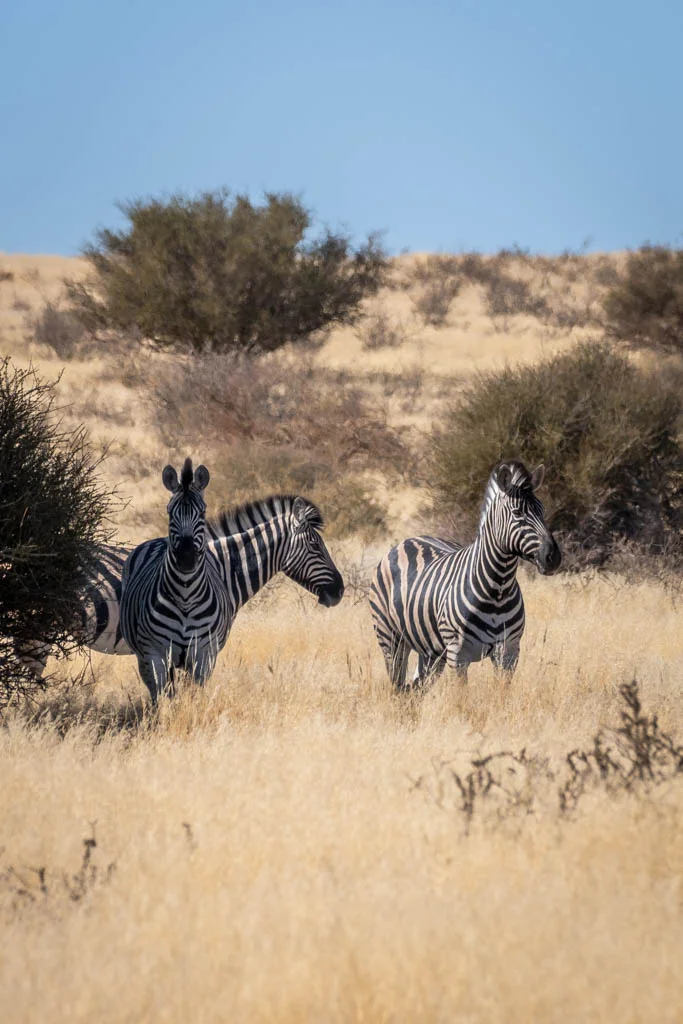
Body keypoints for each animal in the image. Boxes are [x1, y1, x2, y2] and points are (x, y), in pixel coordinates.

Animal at [369, 460, 561, 690]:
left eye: (542, 511)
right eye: (517, 513)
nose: (554, 557)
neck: (498, 588)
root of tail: (407, 541)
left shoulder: (509, 651)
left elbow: (502, 695)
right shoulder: (458, 655)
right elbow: (462, 696)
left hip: (431, 652)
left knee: (415, 689)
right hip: (390, 638)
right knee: (397, 685)